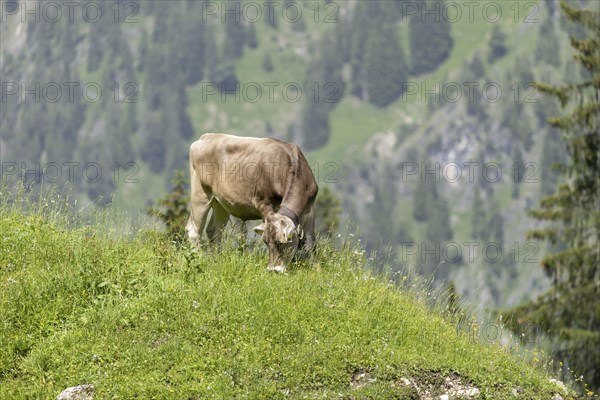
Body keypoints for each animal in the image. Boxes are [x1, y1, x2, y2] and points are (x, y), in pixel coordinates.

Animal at [185, 134, 318, 272]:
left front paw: (317, 269)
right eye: (266, 242)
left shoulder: (310, 211)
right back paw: (197, 262)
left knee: (214, 230)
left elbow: (311, 243)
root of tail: (207, 136)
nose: (273, 270)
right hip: (200, 193)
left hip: (220, 202)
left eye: (282, 242)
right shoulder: (264, 204)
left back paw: (216, 260)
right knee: (194, 230)